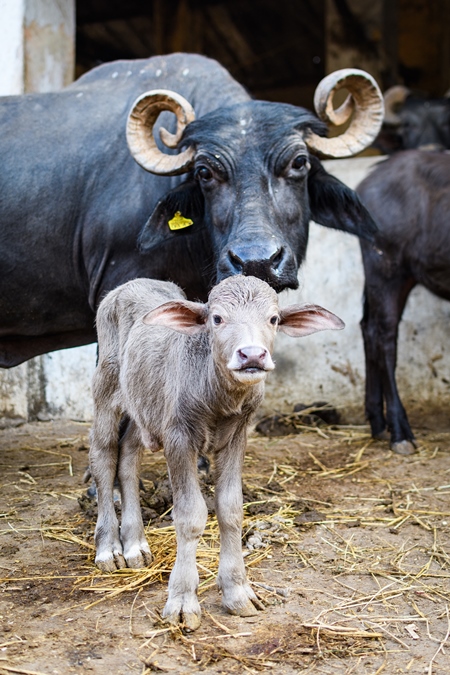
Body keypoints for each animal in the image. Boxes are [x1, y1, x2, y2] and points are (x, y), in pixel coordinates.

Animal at [89, 274, 342, 628]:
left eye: (273, 319)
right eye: (217, 318)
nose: (252, 355)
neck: (217, 397)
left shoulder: (237, 437)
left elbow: (231, 509)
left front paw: (238, 592)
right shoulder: (178, 437)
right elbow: (190, 516)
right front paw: (182, 601)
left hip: (144, 406)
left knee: (127, 456)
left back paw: (135, 545)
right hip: (106, 387)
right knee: (103, 456)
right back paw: (109, 548)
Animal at [356, 148, 448, 454]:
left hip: (403, 275)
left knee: (368, 327)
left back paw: (377, 421)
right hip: (387, 269)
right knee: (383, 335)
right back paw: (400, 431)